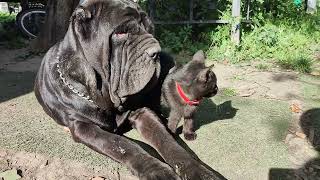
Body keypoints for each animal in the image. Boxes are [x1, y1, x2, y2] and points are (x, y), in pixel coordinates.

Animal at [33, 0, 226, 179]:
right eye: (121, 32)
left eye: (151, 30)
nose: (156, 52)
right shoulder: (82, 125)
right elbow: (123, 145)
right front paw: (158, 170)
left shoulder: (142, 111)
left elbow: (168, 141)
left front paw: (199, 171)